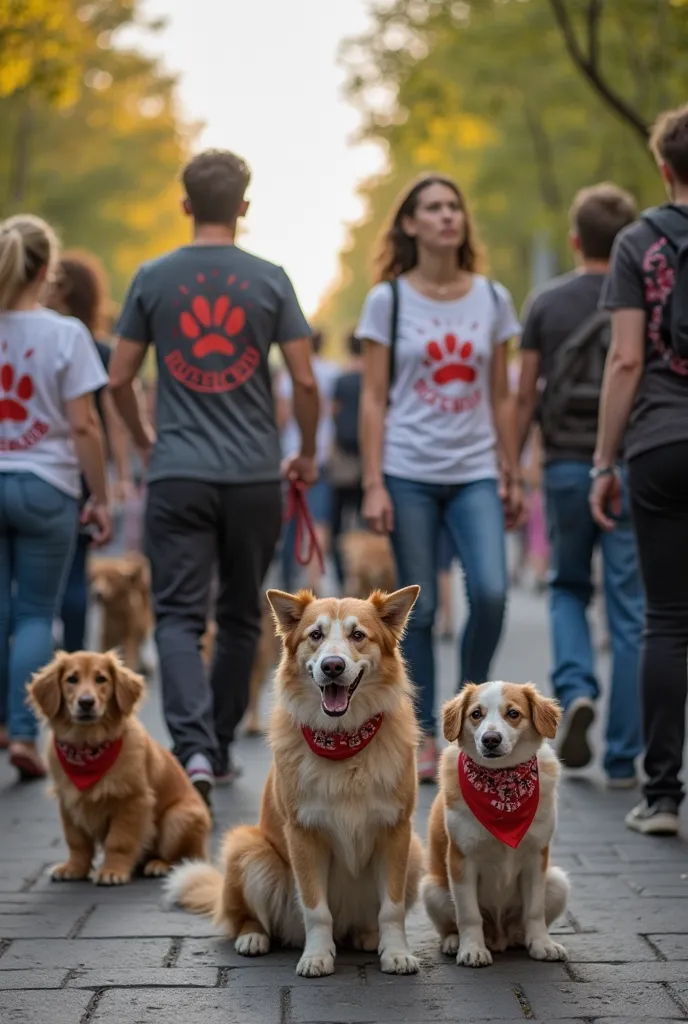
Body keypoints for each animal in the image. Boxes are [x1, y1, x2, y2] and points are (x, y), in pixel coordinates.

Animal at [27, 651, 209, 884]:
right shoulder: (68, 801)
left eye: (101, 679)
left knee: (186, 860)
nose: (86, 702)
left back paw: (159, 865)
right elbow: (77, 841)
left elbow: (119, 841)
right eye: (71, 679)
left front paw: (112, 871)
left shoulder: (131, 801)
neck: (87, 744)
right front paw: (74, 868)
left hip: (179, 818)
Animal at [166, 585, 423, 974]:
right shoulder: (303, 834)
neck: (342, 739)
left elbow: (391, 909)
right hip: (248, 849)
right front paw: (316, 956)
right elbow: (316, 910)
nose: (333, 666)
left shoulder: (397, 831)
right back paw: (253, 938)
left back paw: (366, 936)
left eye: (358, 635)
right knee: (248, 918)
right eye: (315, 635)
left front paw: (395, 952)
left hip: (417, 855)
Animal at [423, 679, 569, 966]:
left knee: (521, 925)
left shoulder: (536, 857)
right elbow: (469, 914)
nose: (491, 739)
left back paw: (522, 939)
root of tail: (500, 937)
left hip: (558, 882)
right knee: (451, 924)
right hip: (431, 888)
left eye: (513, 713)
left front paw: (542, 944)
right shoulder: (461, 859)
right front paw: (472, 949)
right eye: (476, 714)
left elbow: (534, 911)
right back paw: (454, 942)